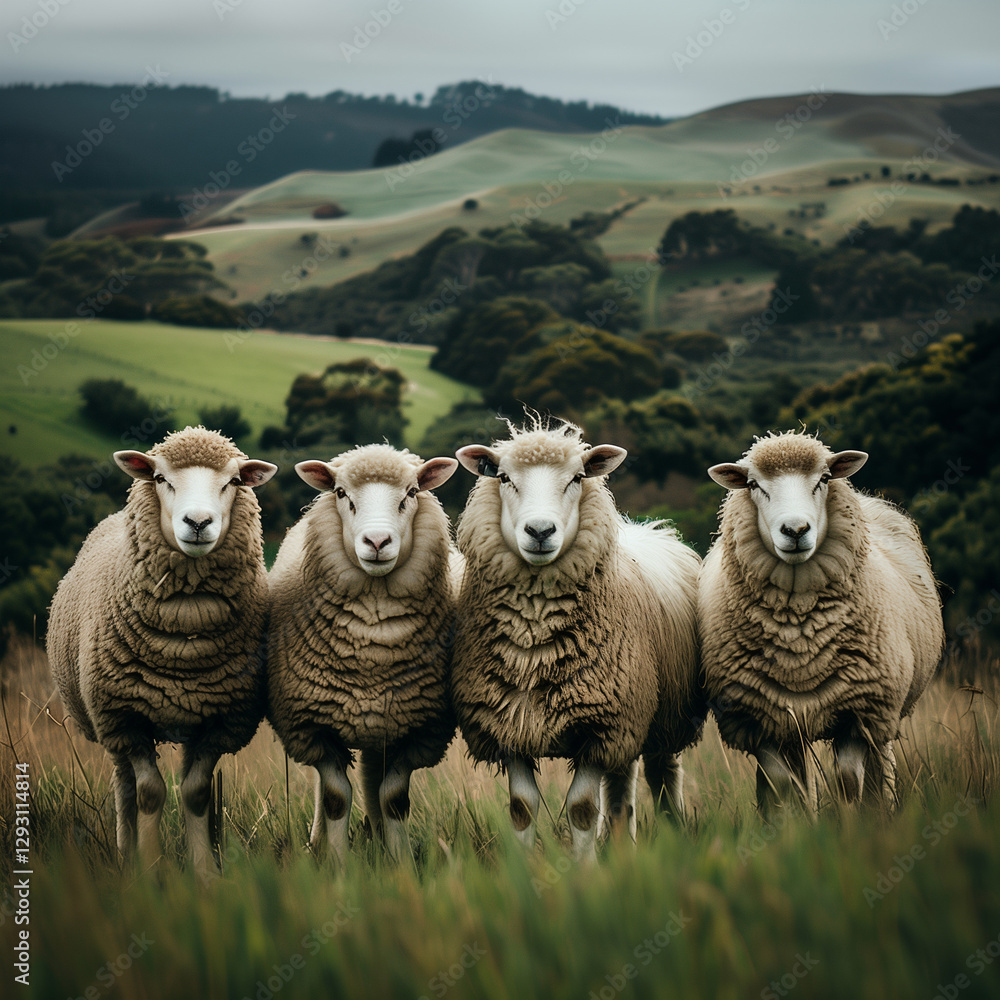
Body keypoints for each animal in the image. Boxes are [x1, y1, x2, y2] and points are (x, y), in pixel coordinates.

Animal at [47, 426, 277, 879]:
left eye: (233, 481)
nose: (198, 522)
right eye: (160, 478)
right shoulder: (126, 716)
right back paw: (124, 854)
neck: (183, 639)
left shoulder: (217, 721)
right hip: (108, 723)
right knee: (125, 787)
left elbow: (196, 793)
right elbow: (150, 793)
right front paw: (150, 870)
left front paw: (205, 874)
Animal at [266, 444, 460, 865]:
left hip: (380, 724)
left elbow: (394, 800)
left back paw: (378, 839)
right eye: (341, 493)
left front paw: (401, 863)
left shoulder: (417, 730)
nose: (376, 541)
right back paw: (316, 844)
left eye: (411, 492)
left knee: (373, 782)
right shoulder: (313, 725)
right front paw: (339, 865)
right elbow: (336, 798)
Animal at [451, 416, 703, 862]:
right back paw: (621, 846)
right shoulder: (510, 726)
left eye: (577, 478)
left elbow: (583, 809)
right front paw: (523, 868)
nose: (539, 531)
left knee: (662, 773)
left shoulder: (599, 725)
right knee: (621, 786)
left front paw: (584, 869)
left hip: (662, 713)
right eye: (503, 477)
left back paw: (674, 835)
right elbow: (522, 808)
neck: (534, 647)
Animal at [699, 430, 945, 814]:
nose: (795, 529)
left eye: (824, 479)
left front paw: (848, 822)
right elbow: (785, 786)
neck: (799, 635)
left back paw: (885, 809)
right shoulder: (760, 719)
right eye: (753, 484)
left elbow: (848, 783)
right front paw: (793, 825)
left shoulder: (858, 711)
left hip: (884, 711)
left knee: (882, 763)